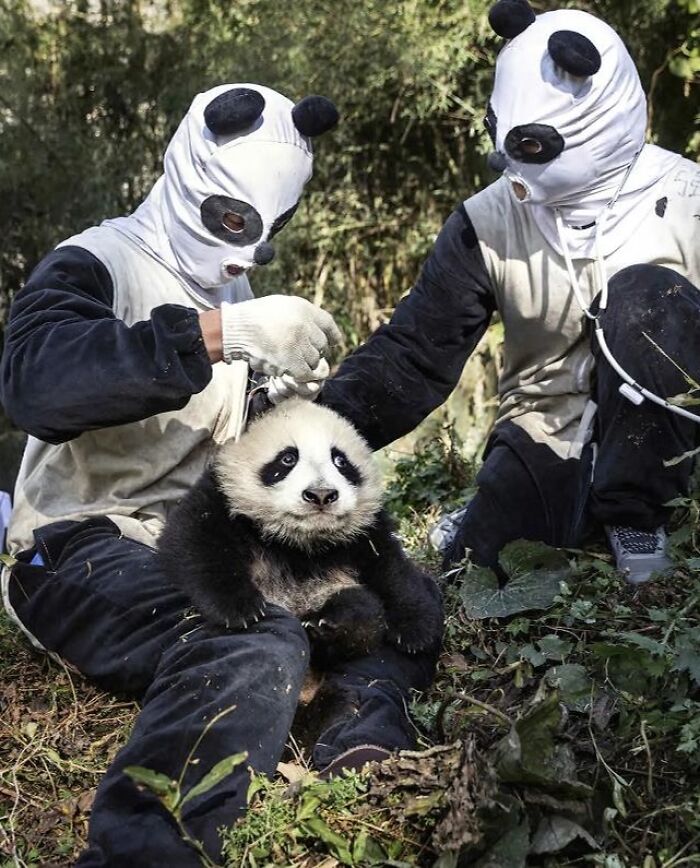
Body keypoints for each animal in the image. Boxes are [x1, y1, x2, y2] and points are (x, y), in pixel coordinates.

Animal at [158, 398, 442, 665]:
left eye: (340, 461)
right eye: (288, 458)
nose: (321, 494)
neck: (300, 541)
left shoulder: (366, 531)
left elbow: (390, 568)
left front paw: (415, 630)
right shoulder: (222, 498)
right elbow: (193, 540)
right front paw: (239, 607)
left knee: (363, 609)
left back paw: (330, 626)